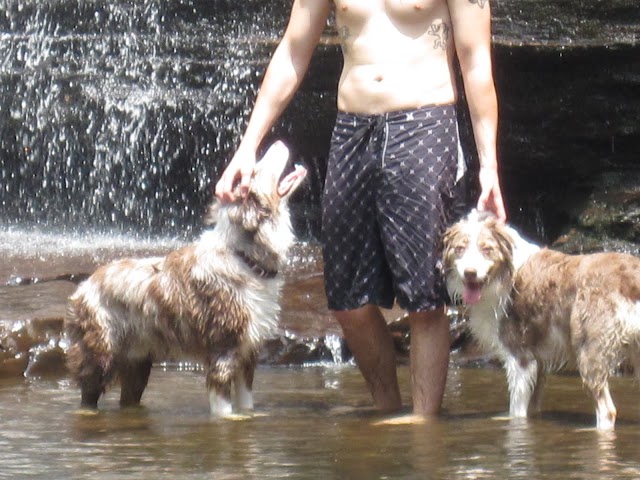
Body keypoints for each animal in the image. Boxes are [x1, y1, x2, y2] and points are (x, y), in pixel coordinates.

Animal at [64, 142, 308, 416]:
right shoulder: (222, 354)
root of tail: (83, 286)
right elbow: (224, 411)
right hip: (100, 354)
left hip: (137, 363)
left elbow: (246, 405)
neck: (244, 257)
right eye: (257, 169)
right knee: (88, 396)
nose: (279, 142)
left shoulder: (247, 353)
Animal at [442, 212, 640, 430]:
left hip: (589, 350)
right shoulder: (539, 362)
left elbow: (516, 411)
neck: (505, 274)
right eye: (460, 249)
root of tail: (630, 276)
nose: (470, 273)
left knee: (607, 410)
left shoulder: (520, 357)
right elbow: (533, 406)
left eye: (487, 249)